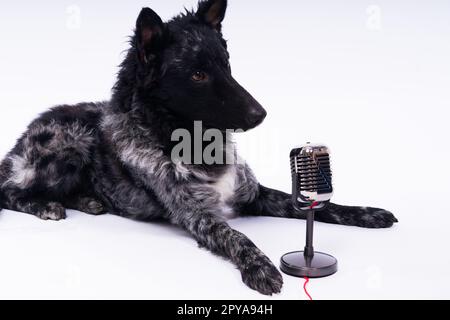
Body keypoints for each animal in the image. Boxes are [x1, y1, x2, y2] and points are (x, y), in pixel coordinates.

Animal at [0, 0, 398, 296]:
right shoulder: (199, 216)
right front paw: (260, 267)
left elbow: (317, 205)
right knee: (10, 192)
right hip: (71, 140)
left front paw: (368, 213)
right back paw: (46, 205)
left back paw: (87, 200)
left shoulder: (255, 195)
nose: (261, 114)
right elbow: (237, 235)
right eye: (197, 75)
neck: (192, 140)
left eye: (226, 64)